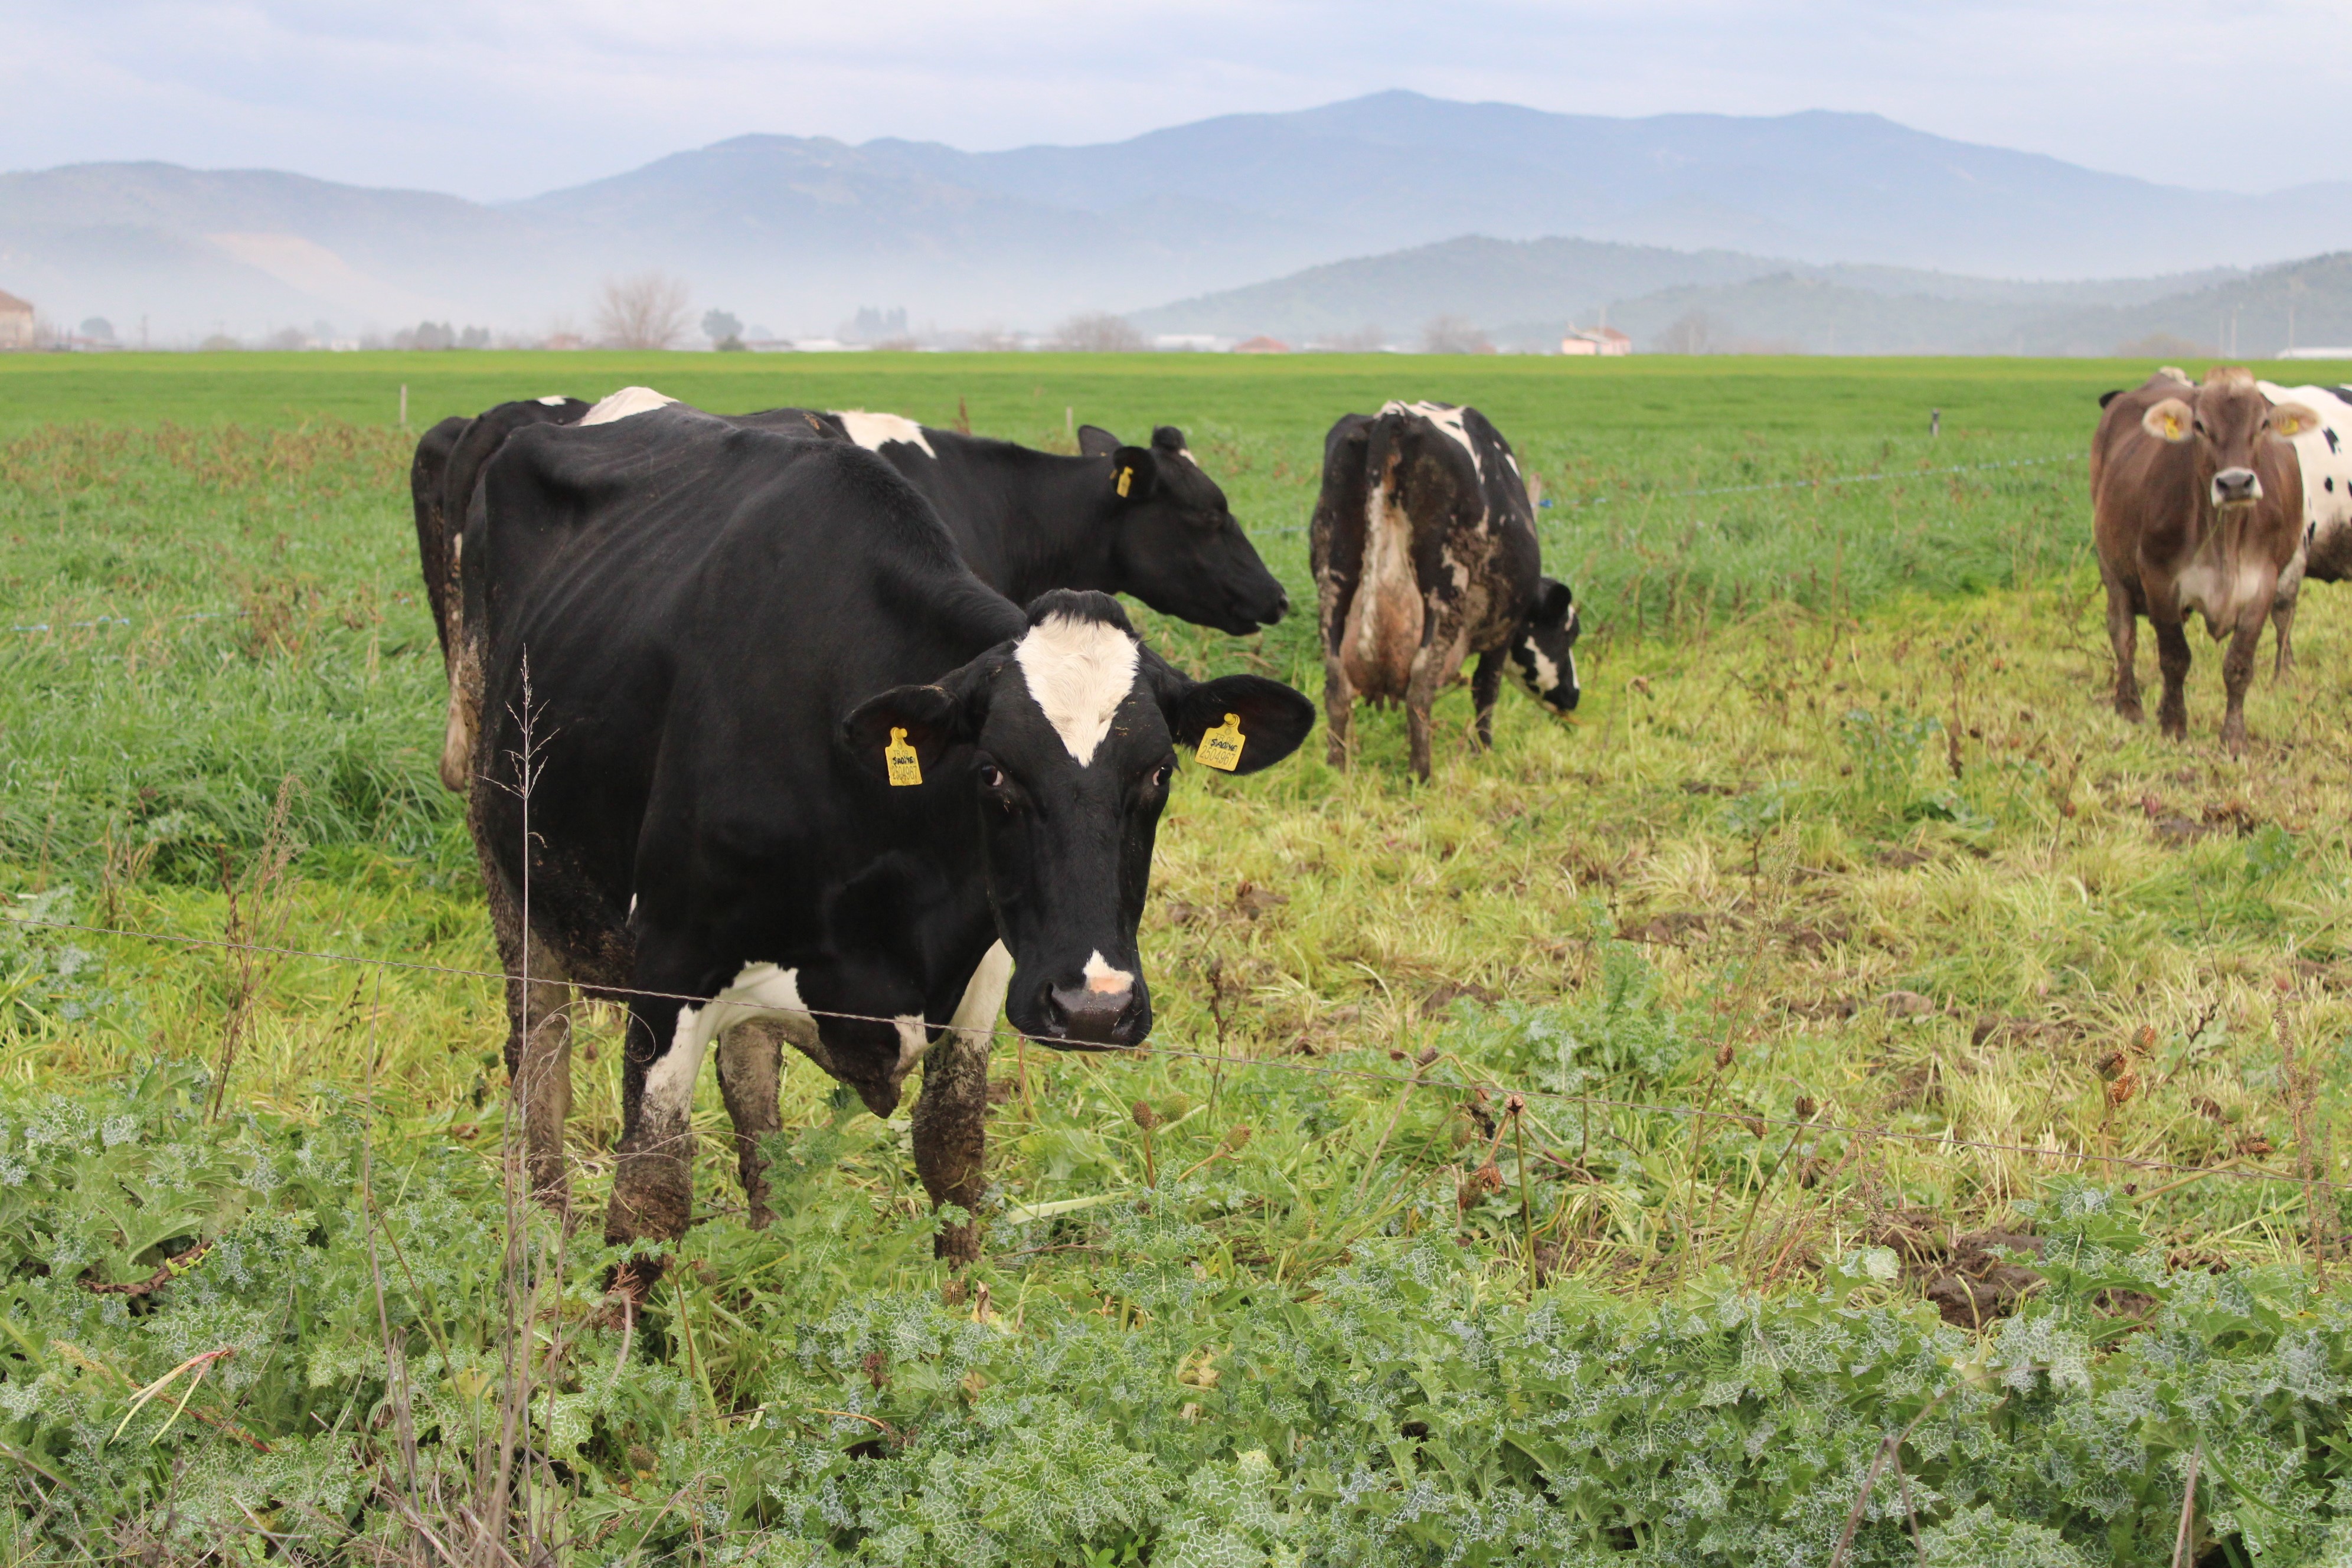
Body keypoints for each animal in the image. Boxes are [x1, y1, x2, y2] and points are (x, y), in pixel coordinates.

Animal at [453, 401, 1308, 1260]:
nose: (1094, 1008)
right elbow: (649, 1203)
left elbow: (952, 1158)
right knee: (540, 1048)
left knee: (748, 1073)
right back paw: (546, 1233)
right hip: (504, 844)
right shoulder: (670, 964)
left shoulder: (986, 965)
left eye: (1160, 773)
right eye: (992, 771)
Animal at [1308, 399, 1580, 780]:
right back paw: (1421, 776)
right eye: (1569, 633)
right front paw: (1485, 753)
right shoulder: (1502, 631)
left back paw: (1337, 770)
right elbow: (1486, 690)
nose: (1574, 695)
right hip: (1446, 589)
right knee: (1421, 687)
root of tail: (1396, 417)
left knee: (1336, 686)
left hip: (1333, 577)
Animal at [2088, 374, 2324, 752]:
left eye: (2262, 424)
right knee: (2123, 635)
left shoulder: (2263, 583)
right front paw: (2174, 728)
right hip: (2112, 566)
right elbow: (2174, 657)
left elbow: (2239, 665)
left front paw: (2234, 740)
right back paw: (2130, 706)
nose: (2236, 483)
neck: (2224, 538)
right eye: (2200, 426)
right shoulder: (2159, 579)